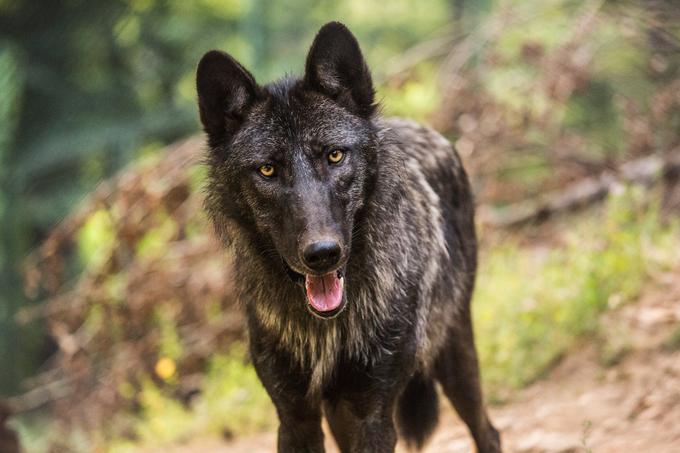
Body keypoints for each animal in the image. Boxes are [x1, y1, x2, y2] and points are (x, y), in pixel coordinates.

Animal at [195, 20, 500, 448]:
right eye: (268, 170)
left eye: (335, 155)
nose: (322, 253)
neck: (327, 330)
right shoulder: (296, 419)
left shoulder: (374, 414)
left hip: (454, 356)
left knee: (488, 431)